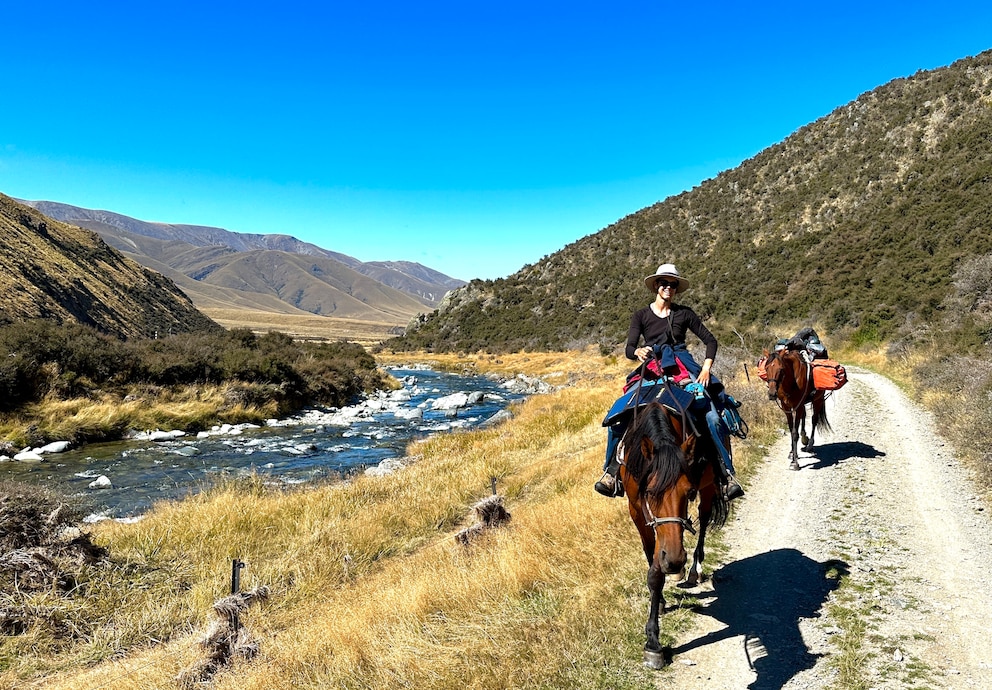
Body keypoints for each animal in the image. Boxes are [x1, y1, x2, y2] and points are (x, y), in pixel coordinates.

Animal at [620, 400, 728, 664]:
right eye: (649, 492)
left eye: (688, 492)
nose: (676, 560)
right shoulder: (637, 510)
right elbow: (652, 562)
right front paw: (658, 606)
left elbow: (657, 571)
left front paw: (653, 642)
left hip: (709, 487)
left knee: (704, 518)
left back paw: (693, 570)